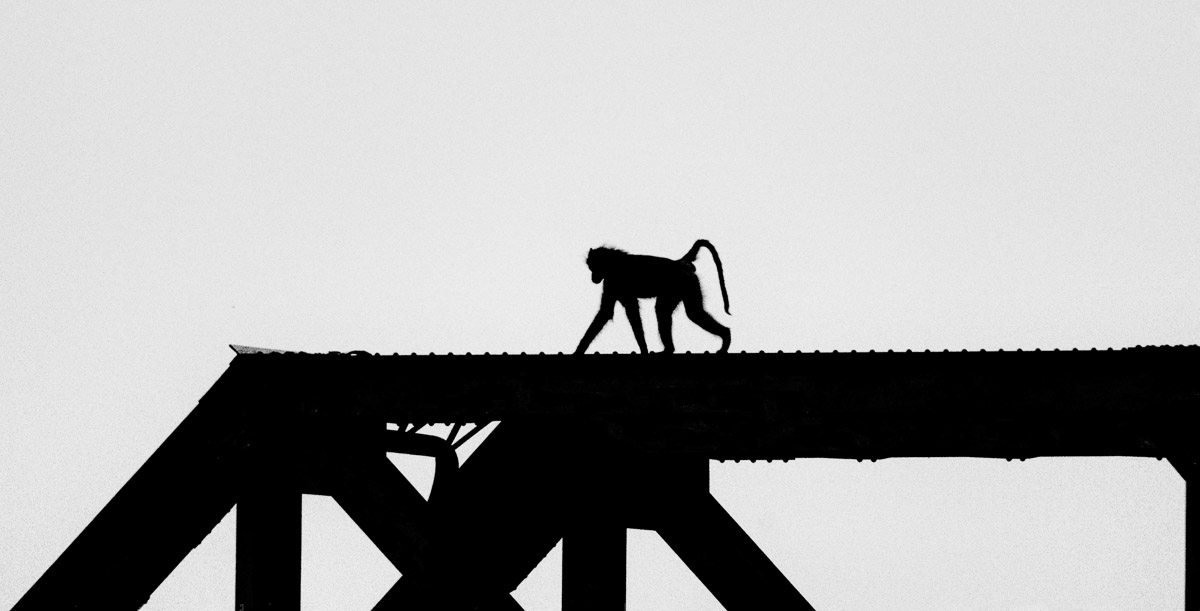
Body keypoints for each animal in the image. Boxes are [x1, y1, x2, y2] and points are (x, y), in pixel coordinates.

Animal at [575, 239, 731, 355]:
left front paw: (579, 350)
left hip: (681, 284)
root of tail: (678, 262)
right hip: (685, 285)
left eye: (594, 268)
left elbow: (615, 313)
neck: (613, 263)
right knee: (689, 312)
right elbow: (617, 312)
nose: (593, 278)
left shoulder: (615, 280)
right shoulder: (612, 283)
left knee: (672, 311)